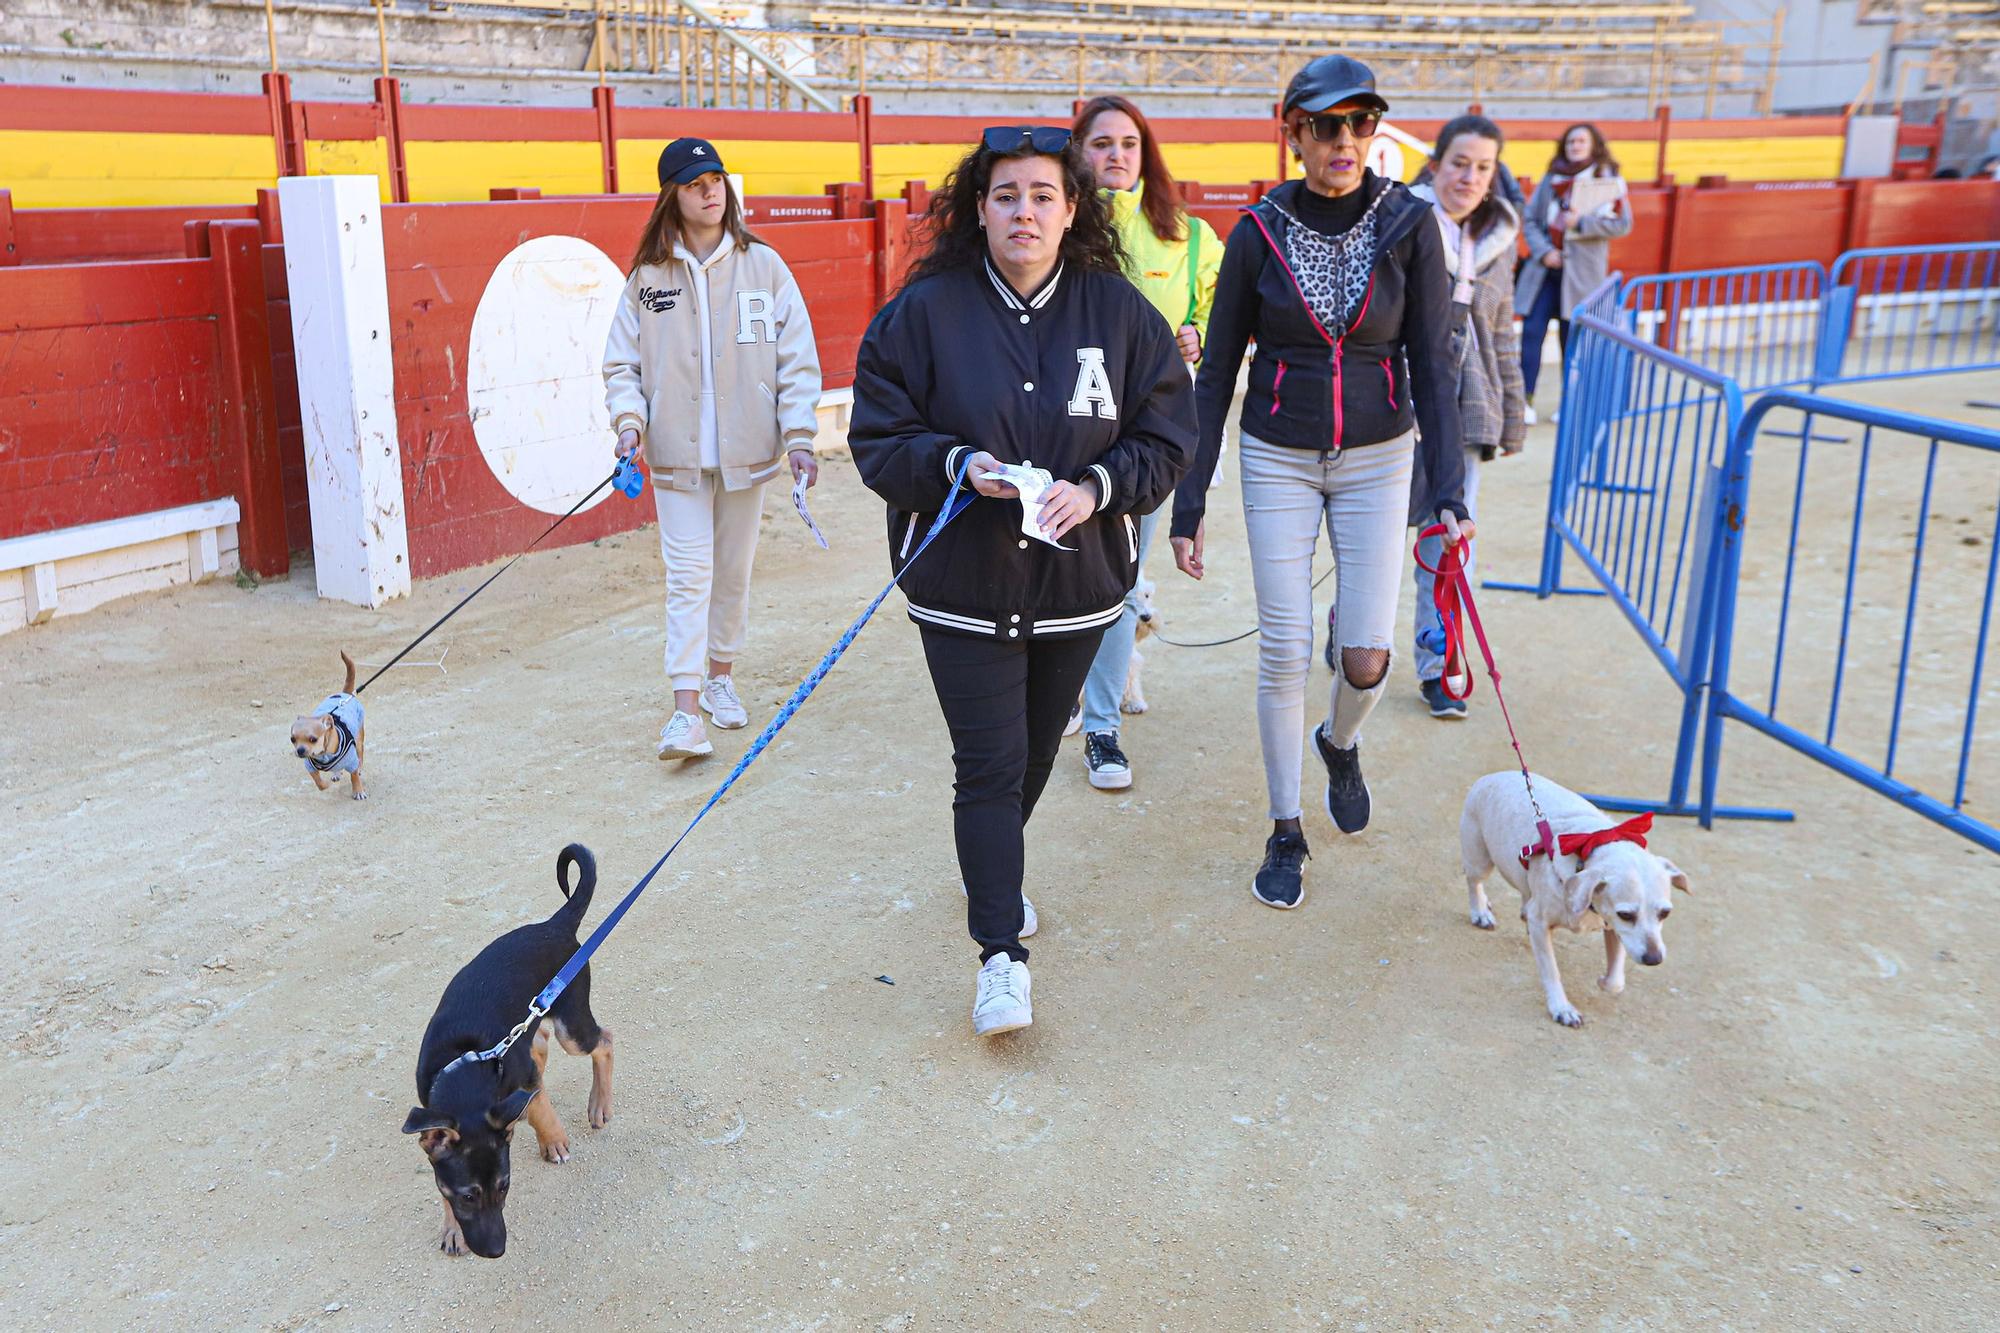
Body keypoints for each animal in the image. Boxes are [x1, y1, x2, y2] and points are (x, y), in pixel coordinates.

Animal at [404, 840, 616, 1256]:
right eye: (466, 1196)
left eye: (505, 1187)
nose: (496, 1251)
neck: (467, 1069)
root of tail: (554, 926)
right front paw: (451, 1228)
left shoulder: (522, 1078)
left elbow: (539, 1107)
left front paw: (554, 1142)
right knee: (543, 1042)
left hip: (572, 1026)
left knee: (605, 1040)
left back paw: (599, 1104)